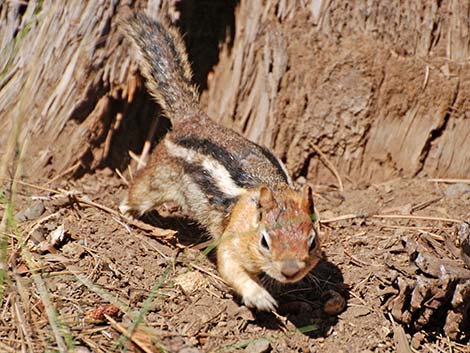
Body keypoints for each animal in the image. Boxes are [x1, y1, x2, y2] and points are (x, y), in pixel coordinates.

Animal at [119, 14, 322, 310]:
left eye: (312, 242)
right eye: (265, 241)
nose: (291, 271)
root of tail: (194, 120)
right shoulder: (232, 238)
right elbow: (229, 266)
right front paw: (259, 296)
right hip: (158, 178)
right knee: (139, 191)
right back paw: (125, 209)